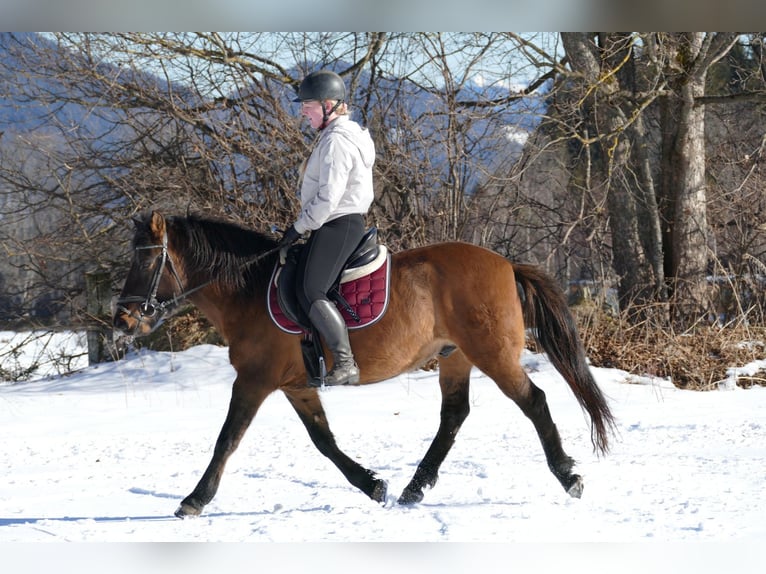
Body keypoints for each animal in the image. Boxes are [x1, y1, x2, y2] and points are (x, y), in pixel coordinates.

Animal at [114, 213, 616, 520]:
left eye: (147, 259)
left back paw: (569, 477)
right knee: (454, 415)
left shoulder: (254, 381)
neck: (248, 292)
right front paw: (373, 485)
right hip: (456, 356)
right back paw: (415, 488)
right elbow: (324, 440)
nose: (123, 320)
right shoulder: (296, 384)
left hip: (492, 354)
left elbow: (227, 439)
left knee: (534, 401)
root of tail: (507, 264)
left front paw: (194, 500)